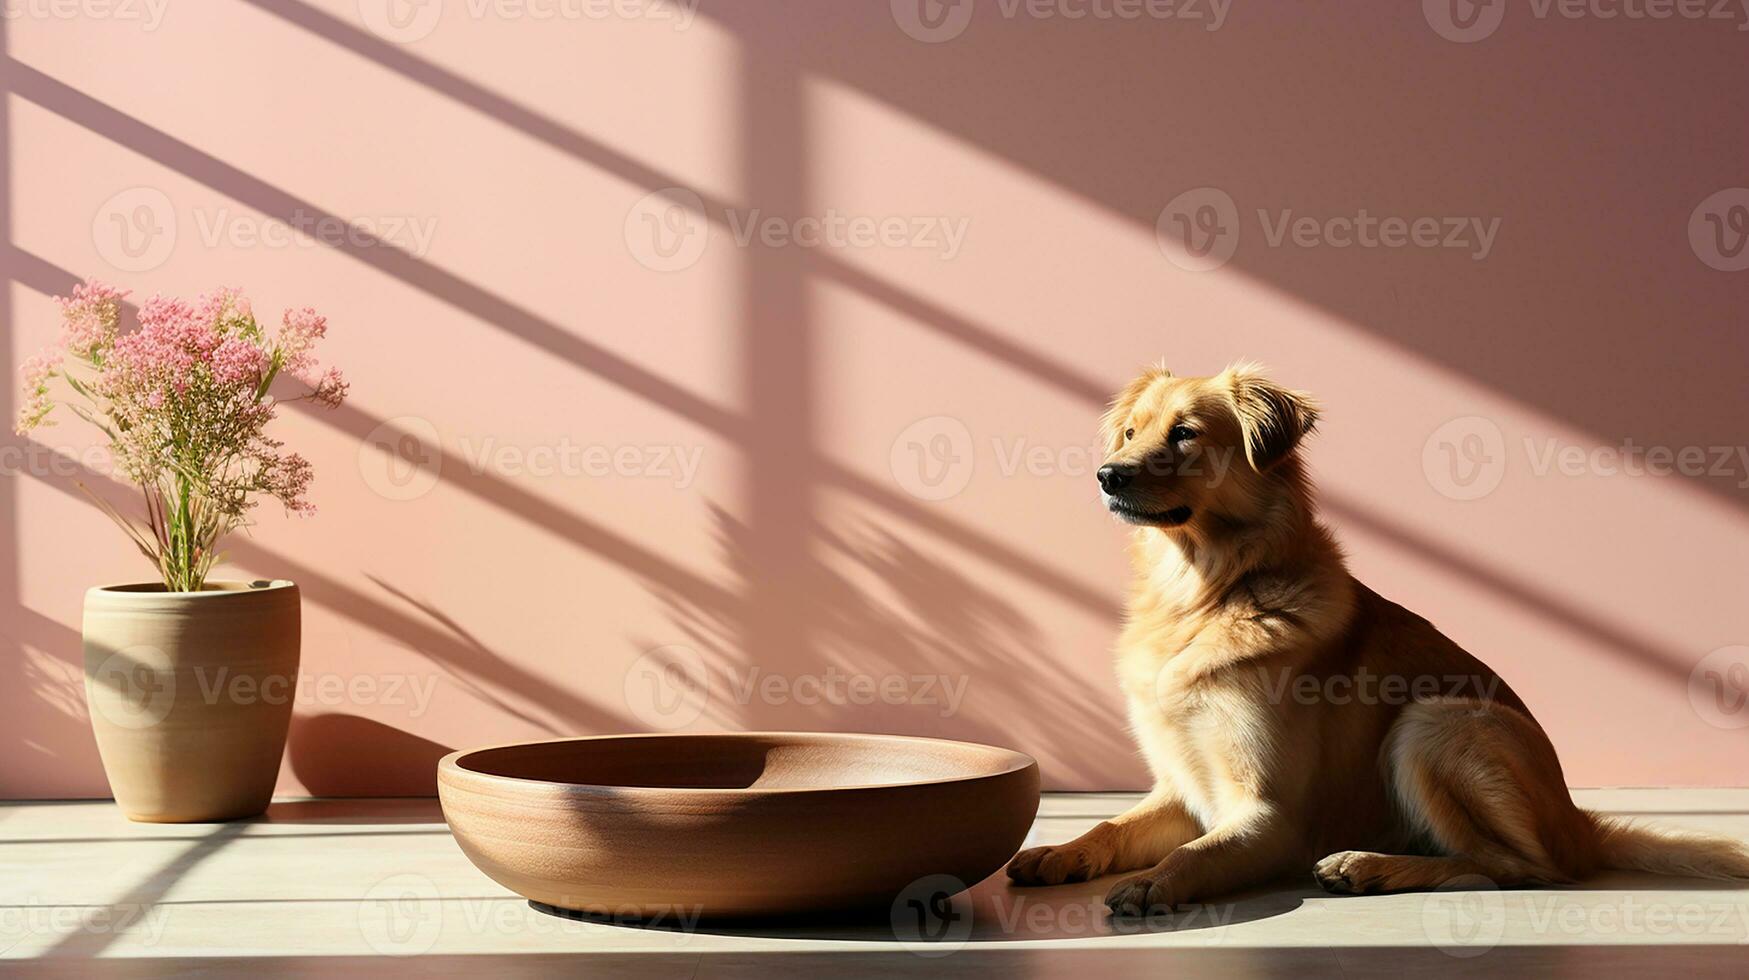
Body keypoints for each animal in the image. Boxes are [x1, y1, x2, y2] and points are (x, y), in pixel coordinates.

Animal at [1007, 362, 1749, 917]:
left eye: (1185, 433)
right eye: (1130, 432)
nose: (1108, 474)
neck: (1206, 594)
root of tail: (1577, 823)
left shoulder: (1269, 815)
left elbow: (1198, 853)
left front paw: (1153, 881)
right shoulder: (1180, 789)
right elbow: (1111, 825)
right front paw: (1059, 852)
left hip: (1434, 722)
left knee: (1516, 868)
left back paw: (1369, 866)